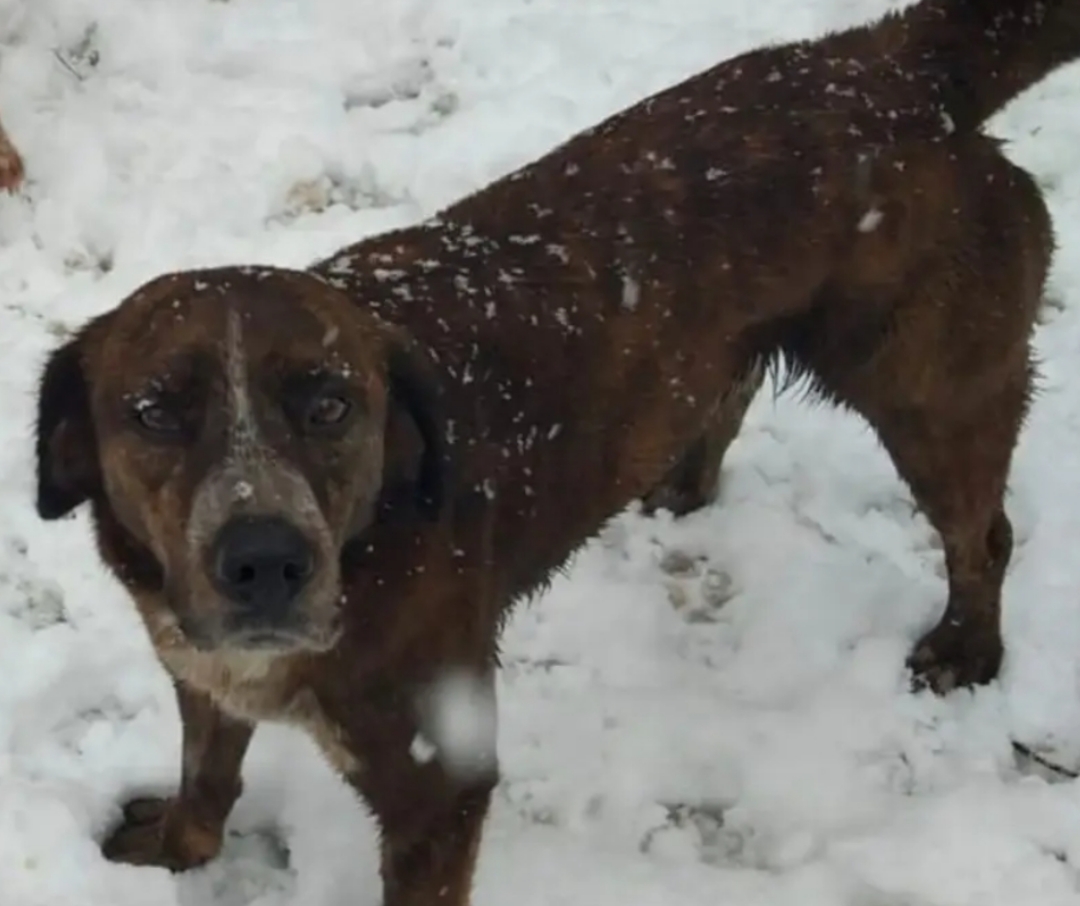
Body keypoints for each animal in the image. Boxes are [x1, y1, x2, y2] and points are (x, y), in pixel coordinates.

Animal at [33, 0, 1080, 903]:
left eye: (331, 405)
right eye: (153, 411)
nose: (264, 561)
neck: (368, 540)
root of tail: (892, 62)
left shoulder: (438, 783)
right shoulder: (198, 670)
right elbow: (207, 777)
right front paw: (180, 849)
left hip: (935, 394)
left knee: (982, 536)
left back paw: (967, 648)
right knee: (729, 385)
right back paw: (680, 481)